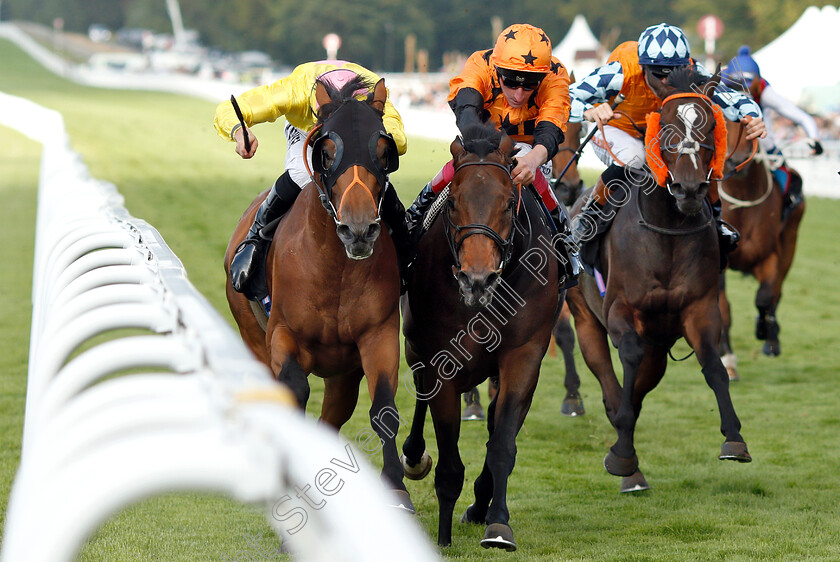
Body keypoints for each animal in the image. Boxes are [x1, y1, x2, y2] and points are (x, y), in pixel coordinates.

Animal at [223, 76, 414, 510]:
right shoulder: (282, 336)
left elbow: (384, 408)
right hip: (252, 336)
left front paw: (396, 487)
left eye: (383, 152)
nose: (358, 229)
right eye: (327, 152)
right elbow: (294, 390)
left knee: (332, 418)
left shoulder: (377, 335)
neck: (336, 269)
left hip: (344, 374)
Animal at [398, 121, 556, 548]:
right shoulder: (443, 360)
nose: (477, 278)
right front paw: (443, 537)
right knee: (420, 396)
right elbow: (450, 461)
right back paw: (412, 457)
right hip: (415, 346)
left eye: (509, 202)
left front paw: (497, 523)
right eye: (453, 203)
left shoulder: (524, 355)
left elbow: (501, 443)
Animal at [564, 68, 756, 492]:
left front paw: (734, 439)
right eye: (666, 125)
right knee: (608, 381)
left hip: (660, 340)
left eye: (709, 125)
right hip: (585, 317)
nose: (689, 188)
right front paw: (622, 453)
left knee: (639, 386)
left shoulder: (699, 308)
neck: (667, 232)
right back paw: (624, 456)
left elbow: (713, 365)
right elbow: (627, 363)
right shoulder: (620, 309)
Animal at [716, 120, 808, 372]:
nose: (737, 159)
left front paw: (764, 330)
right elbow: (723, 307)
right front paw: (727, 358)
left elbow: (765, 297)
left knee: (777, 290)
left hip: (791, 241)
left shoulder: (769, 255)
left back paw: (771, 338)